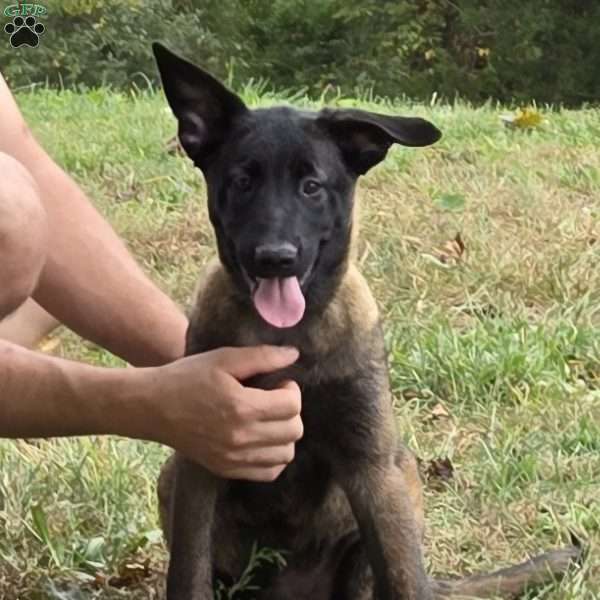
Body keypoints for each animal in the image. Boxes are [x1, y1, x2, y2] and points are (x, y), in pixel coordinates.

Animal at [151, 43, 580, 600]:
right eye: (241, 182)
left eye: (312, 186)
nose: (275, 258)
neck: (288, 339)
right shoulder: (201, 459)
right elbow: (189, 570)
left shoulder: (372, 467)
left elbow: (403, 576)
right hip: (172, 480)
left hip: (403, 477)